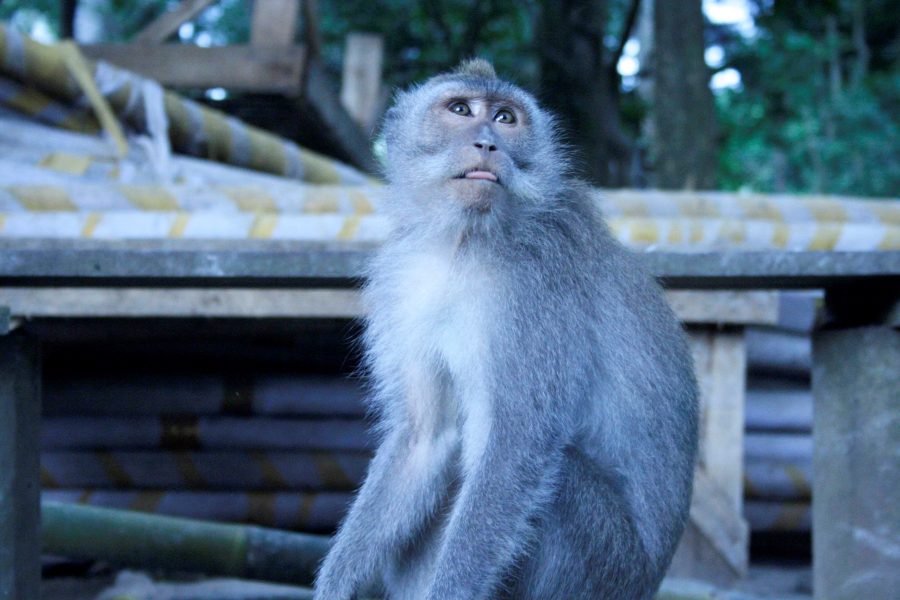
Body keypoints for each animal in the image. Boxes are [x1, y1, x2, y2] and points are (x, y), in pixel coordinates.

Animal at [313, 59, 698, 600]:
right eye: (460, 110)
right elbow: (426, 438)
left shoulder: (536, 287)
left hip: (606, 569)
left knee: (554, 481)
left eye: (504, 118)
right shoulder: (405, 285)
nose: (487, 143)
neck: (464, 242)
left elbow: (516, 442)